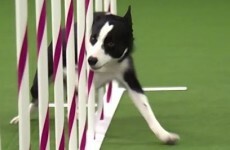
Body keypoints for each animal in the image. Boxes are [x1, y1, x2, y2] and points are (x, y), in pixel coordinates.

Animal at [10, 6, 180, 144]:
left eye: (111, 43)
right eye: (93, 38)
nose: (91, 60)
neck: (108, 65)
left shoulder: (128, 76)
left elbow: (146, 108)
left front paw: (164, 135)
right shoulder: (73, 69)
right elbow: (78, 86)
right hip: (42, 78)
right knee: (36, 99)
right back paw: (21, 117)